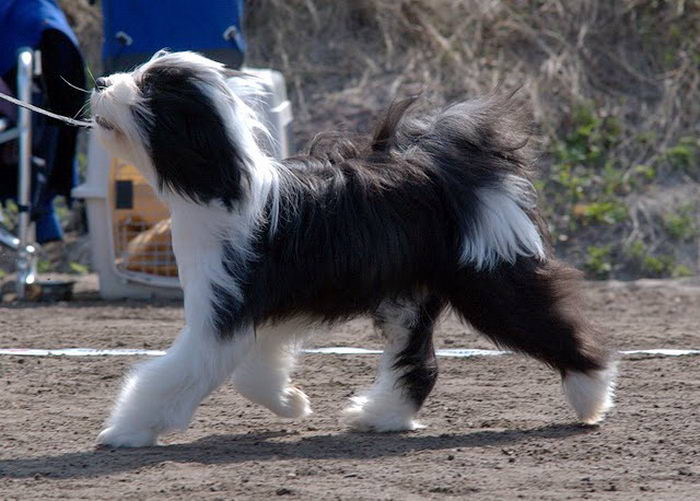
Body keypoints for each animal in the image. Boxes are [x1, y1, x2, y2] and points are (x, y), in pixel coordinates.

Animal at [90, 50, 616, 448]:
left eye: (148, 89)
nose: (100, 81)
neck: (223, 185)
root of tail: (452, 163)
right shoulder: (265, 312)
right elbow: (254, 372)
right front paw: (293, 402)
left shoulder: (222, 311)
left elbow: (174, 375)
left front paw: (125, 430)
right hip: (409, 296)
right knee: (418, 363)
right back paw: (380, 415)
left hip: (488, 280)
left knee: (556, 327)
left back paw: (591, 395)